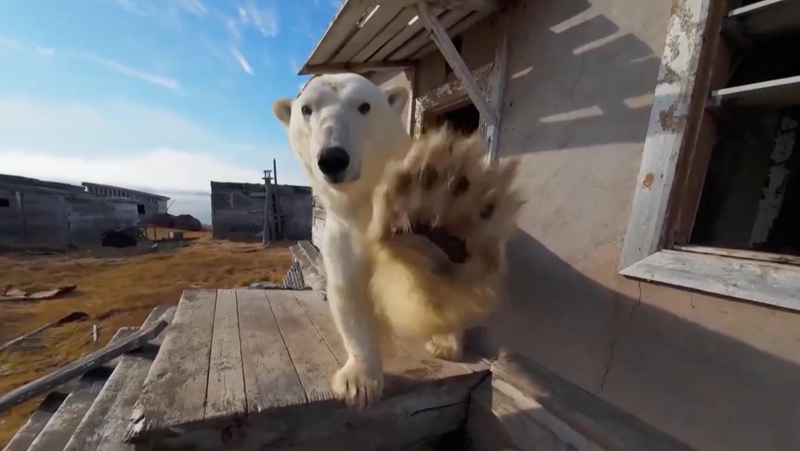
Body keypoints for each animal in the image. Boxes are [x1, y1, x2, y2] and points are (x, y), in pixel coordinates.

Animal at [273, 73, 523, 409]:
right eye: (307, 109)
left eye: (364, 106)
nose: (333, 158)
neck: (367, 207)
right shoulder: (343, 235)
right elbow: (350, 295)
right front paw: (358, 382)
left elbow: (420, 289)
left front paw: (434, 224)